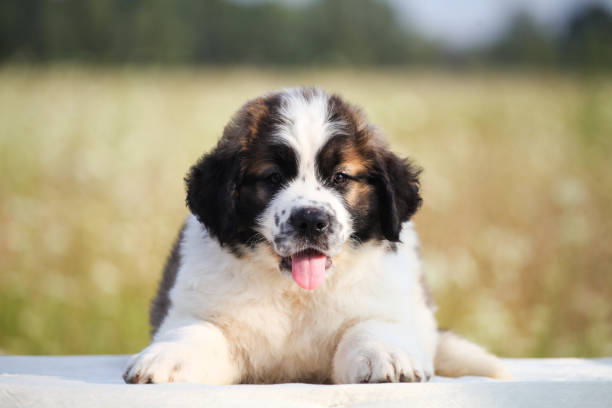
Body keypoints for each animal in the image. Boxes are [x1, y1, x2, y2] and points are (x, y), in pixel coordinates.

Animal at [120, 87, 506, 386]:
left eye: (340, 177)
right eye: (273, 177)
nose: (311, 221)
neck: (295, 294)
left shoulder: (384, 304)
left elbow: (371, 326)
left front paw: (387, 355)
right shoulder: (198, 308)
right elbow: (195, 330)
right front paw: (166, 358)